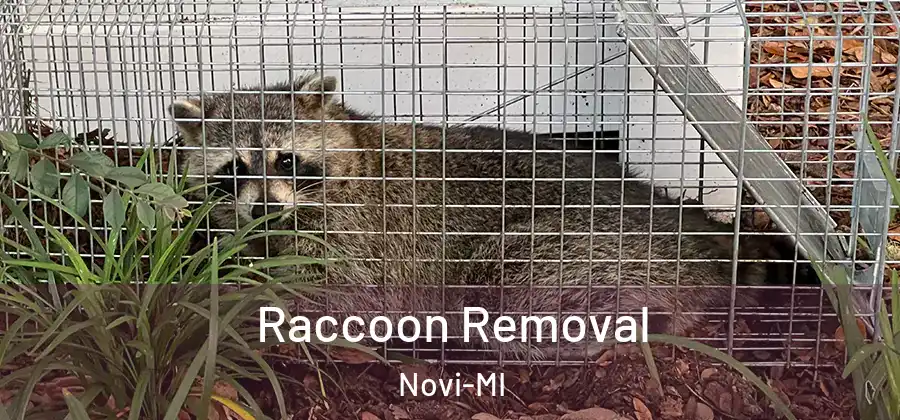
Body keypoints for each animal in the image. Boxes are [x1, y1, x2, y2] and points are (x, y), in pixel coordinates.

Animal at [167, 73, 801, 360]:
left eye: (286, 160)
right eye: (233, 169)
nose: (266, 206)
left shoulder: (362, 234)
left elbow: (342, 293)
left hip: (577, 247)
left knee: (518, 284)